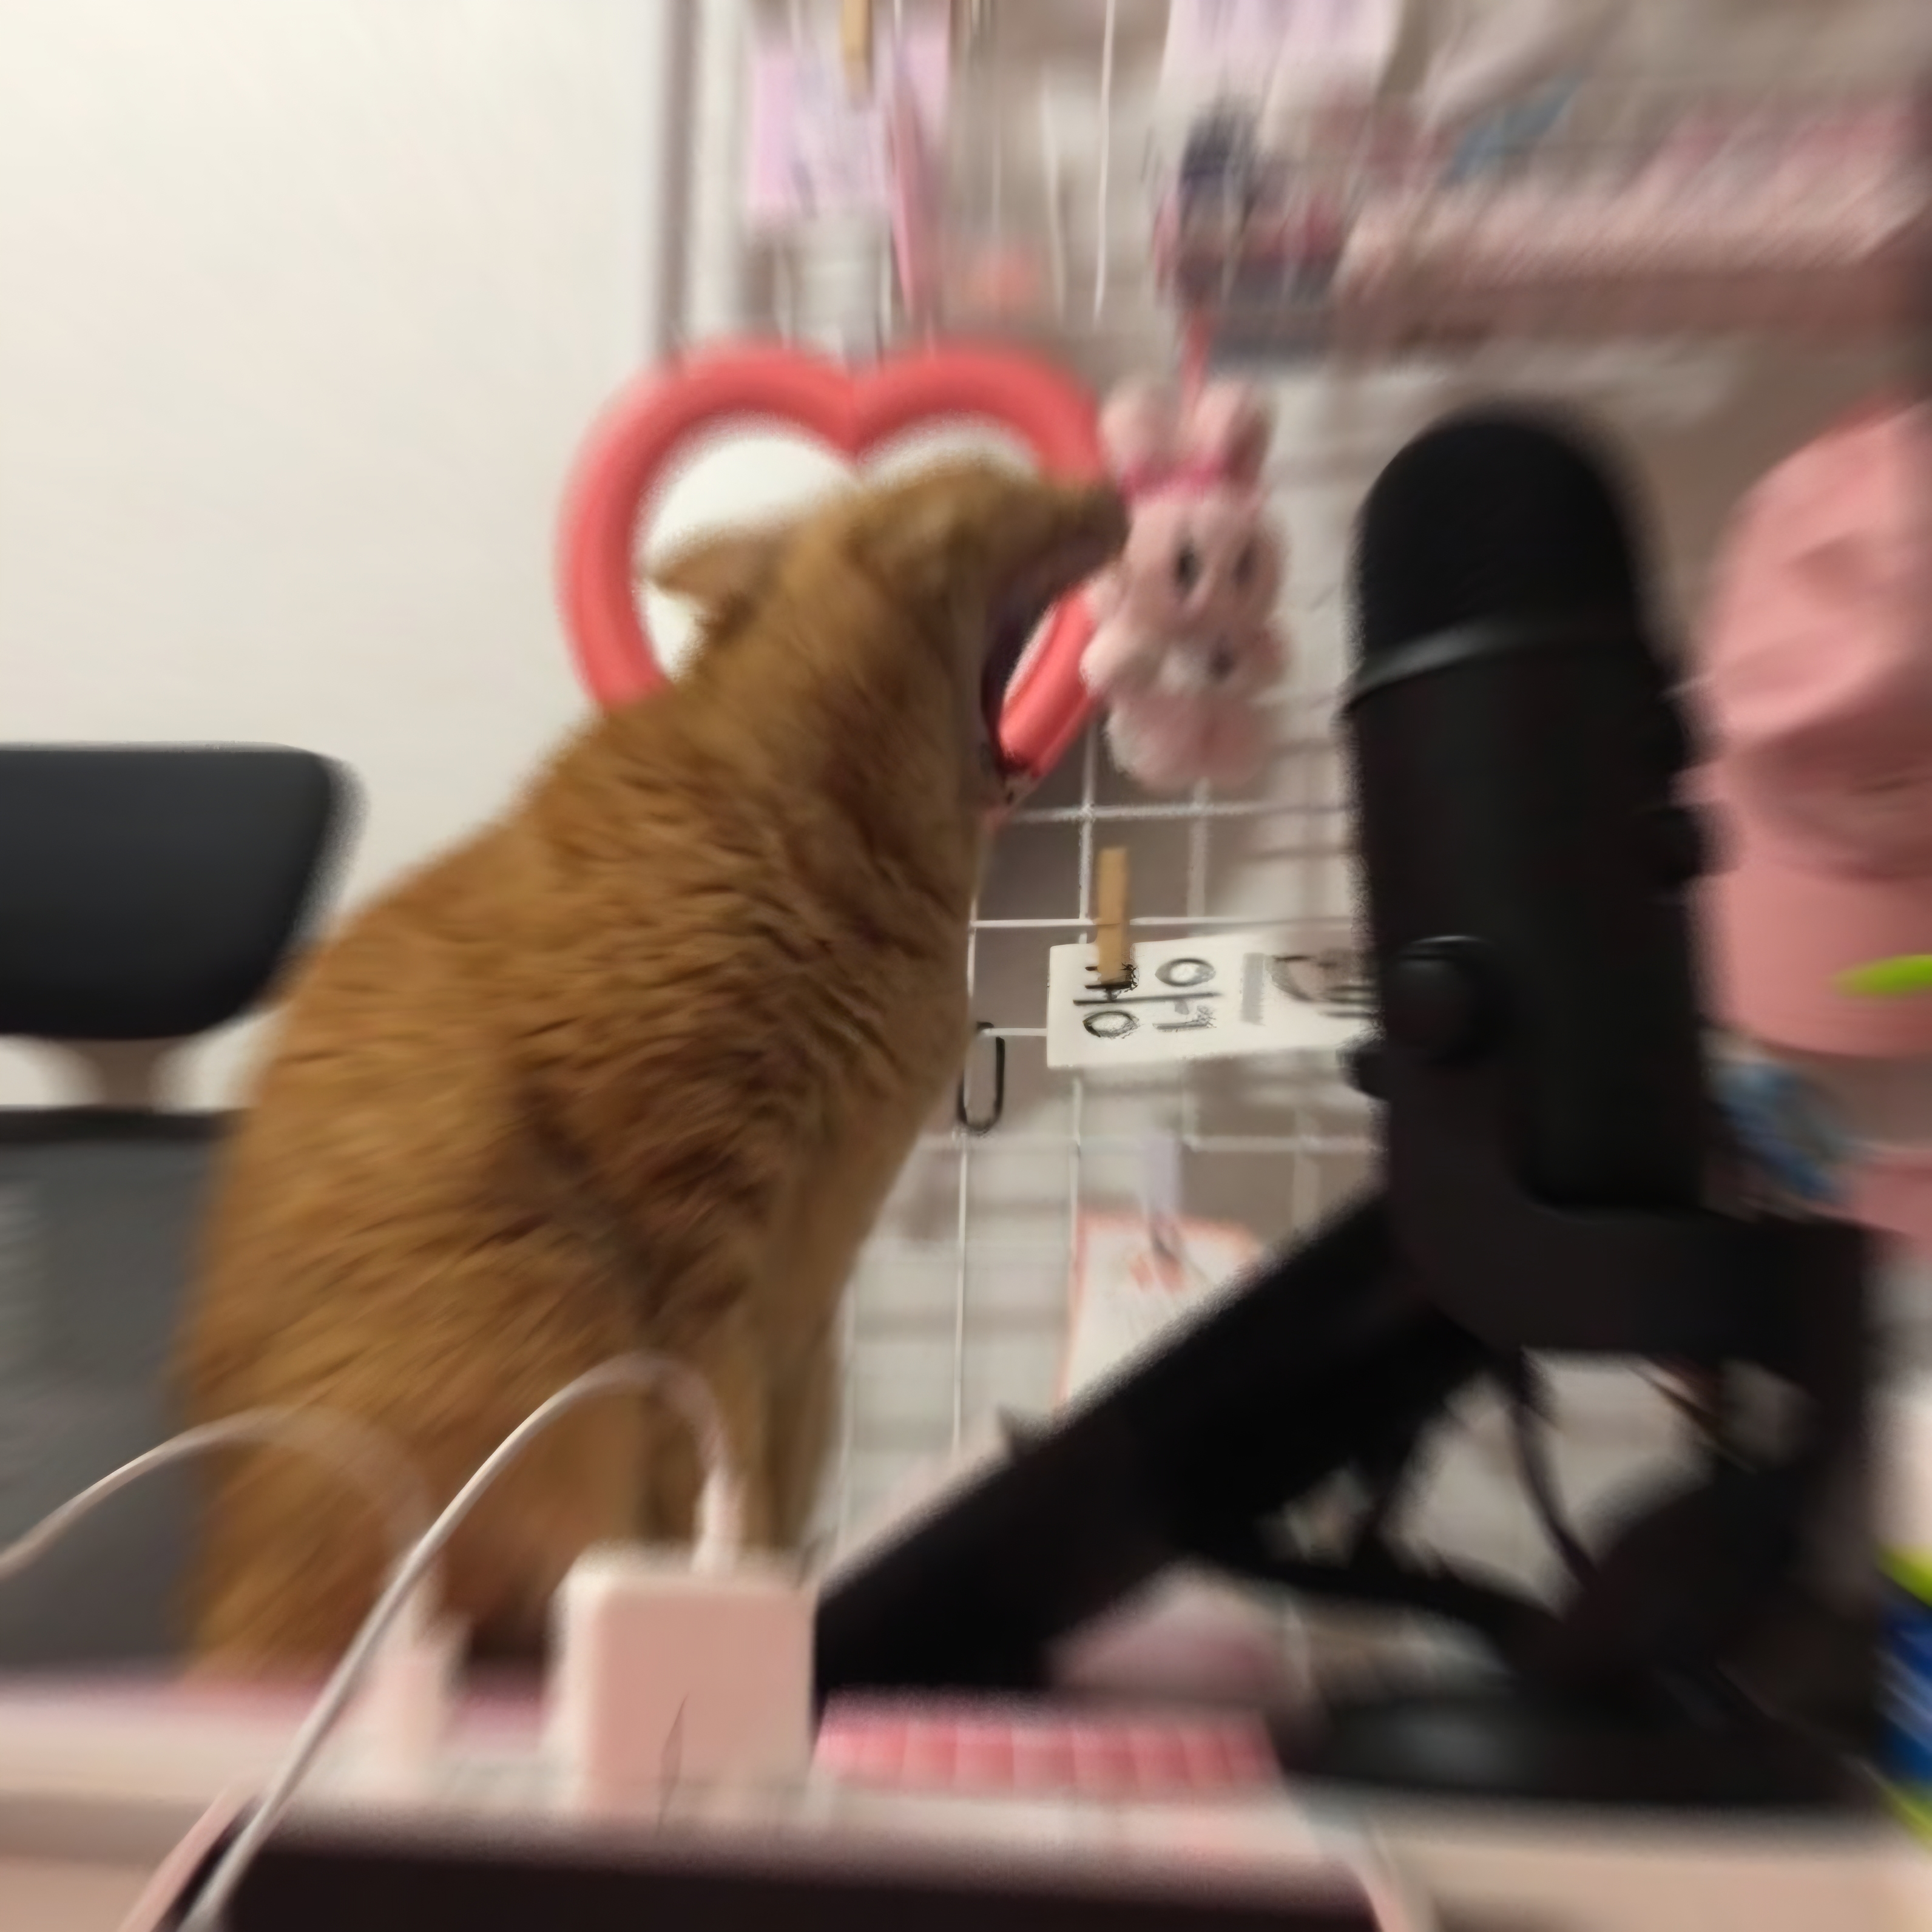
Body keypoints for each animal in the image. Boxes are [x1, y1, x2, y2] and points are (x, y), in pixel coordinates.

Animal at [178, 459, 1125, 1671]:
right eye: (1003, 478)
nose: (1108, 477)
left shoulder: (802, 1323)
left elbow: (773, 1489)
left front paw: (788, 1590)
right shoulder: (692, 1250)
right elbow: (718, 1476)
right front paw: (743, 1610)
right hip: (543, 1299)